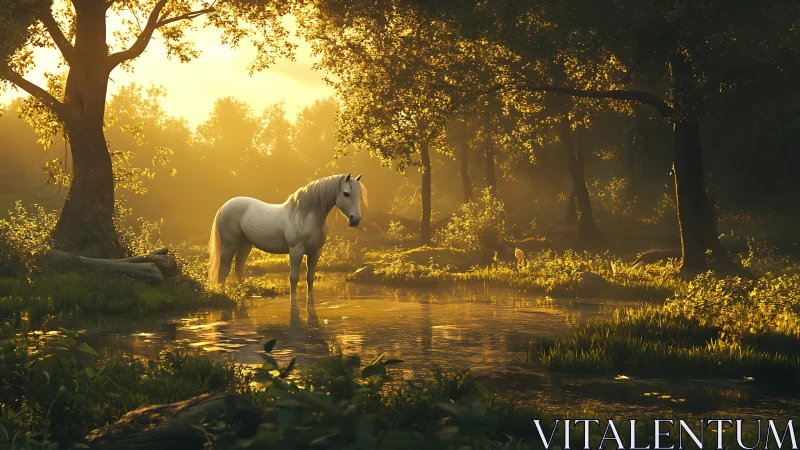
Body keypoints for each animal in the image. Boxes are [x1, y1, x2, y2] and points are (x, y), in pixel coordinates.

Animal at [207, 173, 366, 296]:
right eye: (346, 193)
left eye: (358, 195)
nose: (355, 219)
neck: (306, 216)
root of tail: (224, 206)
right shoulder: (296, 250)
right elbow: (294, 278)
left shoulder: (315, 252)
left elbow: (310, 277)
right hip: (230, 244)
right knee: (223, 269)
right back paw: (223, 292)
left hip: (245, 244)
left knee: (239, 267)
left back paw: (247, 291)